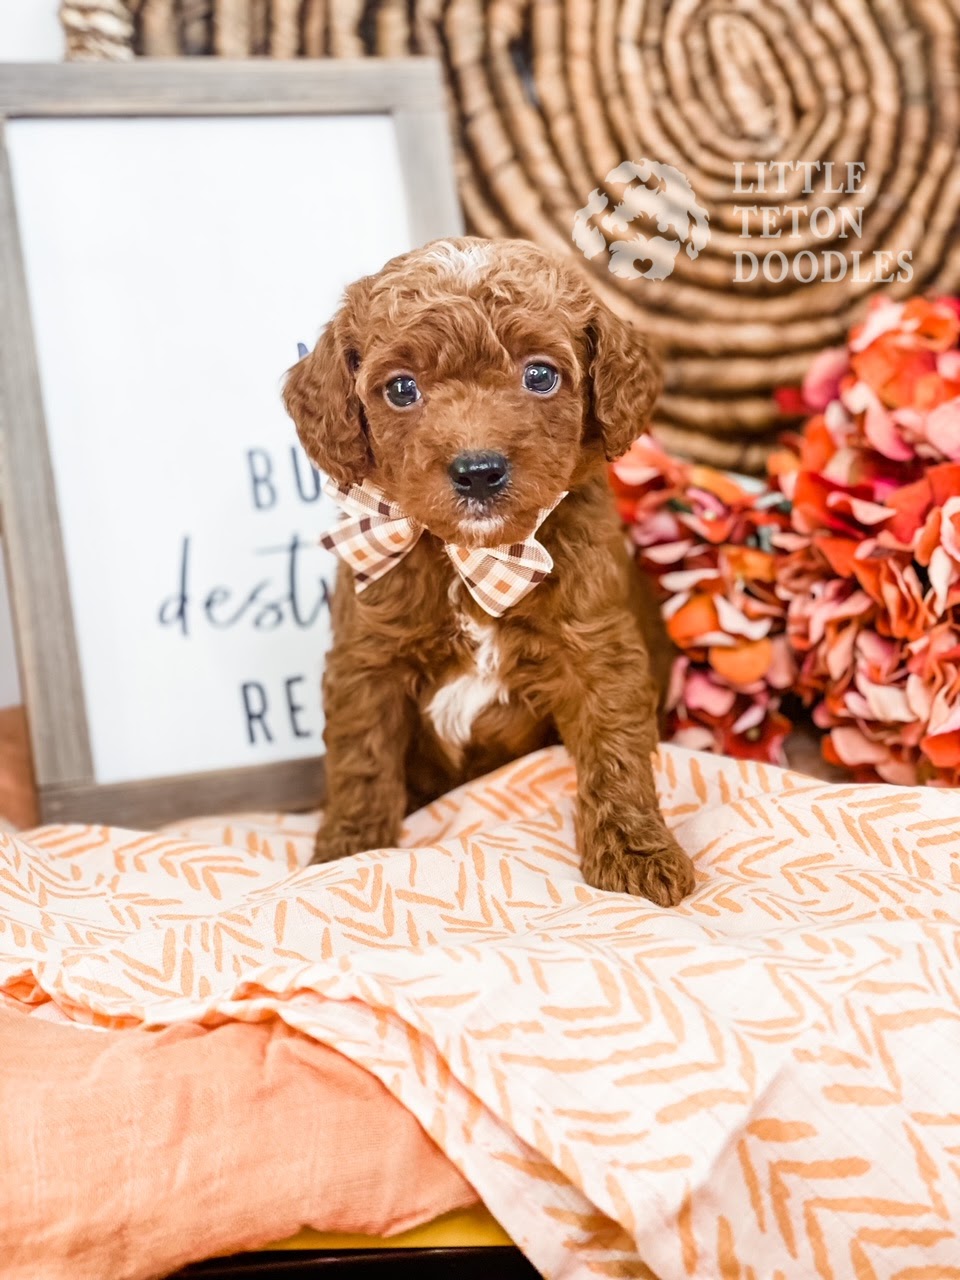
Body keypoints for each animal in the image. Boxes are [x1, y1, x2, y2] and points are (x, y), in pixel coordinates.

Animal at [281, 235, 696, 906]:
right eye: (401, 389)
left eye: (540, 375)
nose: (478, 471)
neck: (474, 556)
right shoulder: (368, 660)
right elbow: (361, 760)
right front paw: (347, 850)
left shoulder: (597, 650)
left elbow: (616, 753)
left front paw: (638, 854)